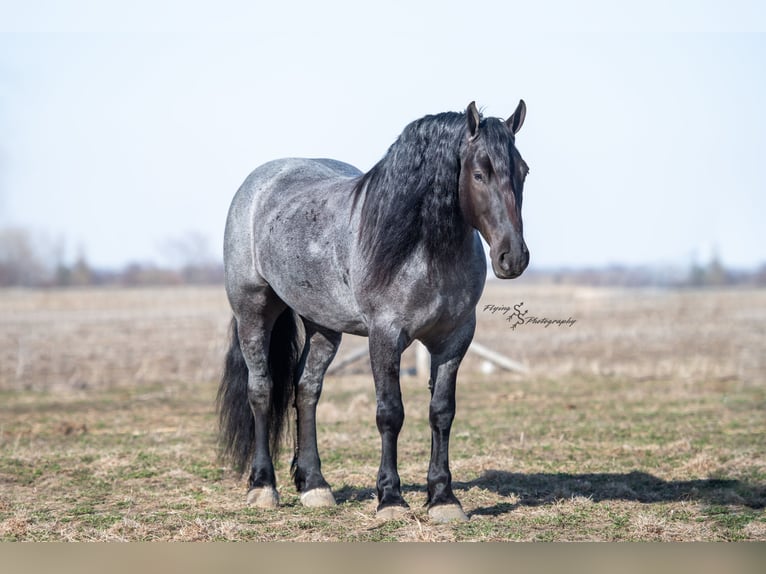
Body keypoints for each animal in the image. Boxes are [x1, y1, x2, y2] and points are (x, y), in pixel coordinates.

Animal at [217, 100, 530, 523]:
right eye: (480, 173)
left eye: (523, 170)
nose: (513, 257)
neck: (425, 252)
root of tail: (260, 182)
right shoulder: (385, 337)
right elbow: (390, 413)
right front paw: (391, 499)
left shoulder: (455, 339)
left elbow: (441, 412)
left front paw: (443, 498)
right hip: (253, 311)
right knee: (262, 390)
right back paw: (264, 486)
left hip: (323, 326)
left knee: (306, 390)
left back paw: (314, 485)